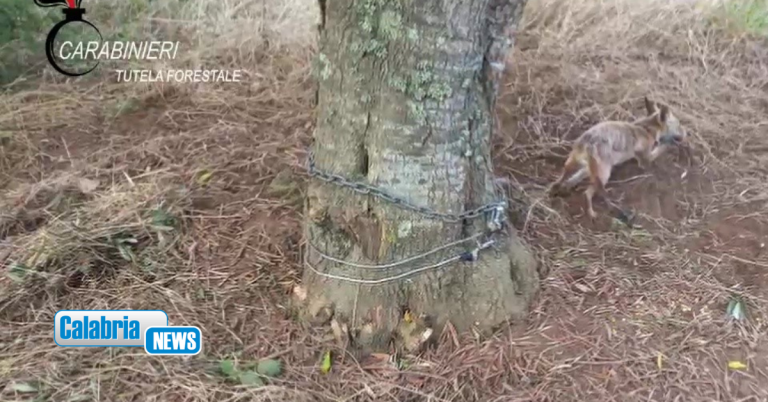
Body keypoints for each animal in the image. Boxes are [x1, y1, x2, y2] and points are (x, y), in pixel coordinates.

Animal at [549, 97, 688, 219]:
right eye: (678, 125)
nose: (686, 133)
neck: (647, 128)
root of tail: (589, 141)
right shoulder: (645, 158)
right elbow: (660, 149)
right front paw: (669, 145)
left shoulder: (590, 168)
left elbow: (576, 177)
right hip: (604, 174)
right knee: (587, 193)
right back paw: (591, 212)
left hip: (577, 163)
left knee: (564, 176)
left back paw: (558, 188)